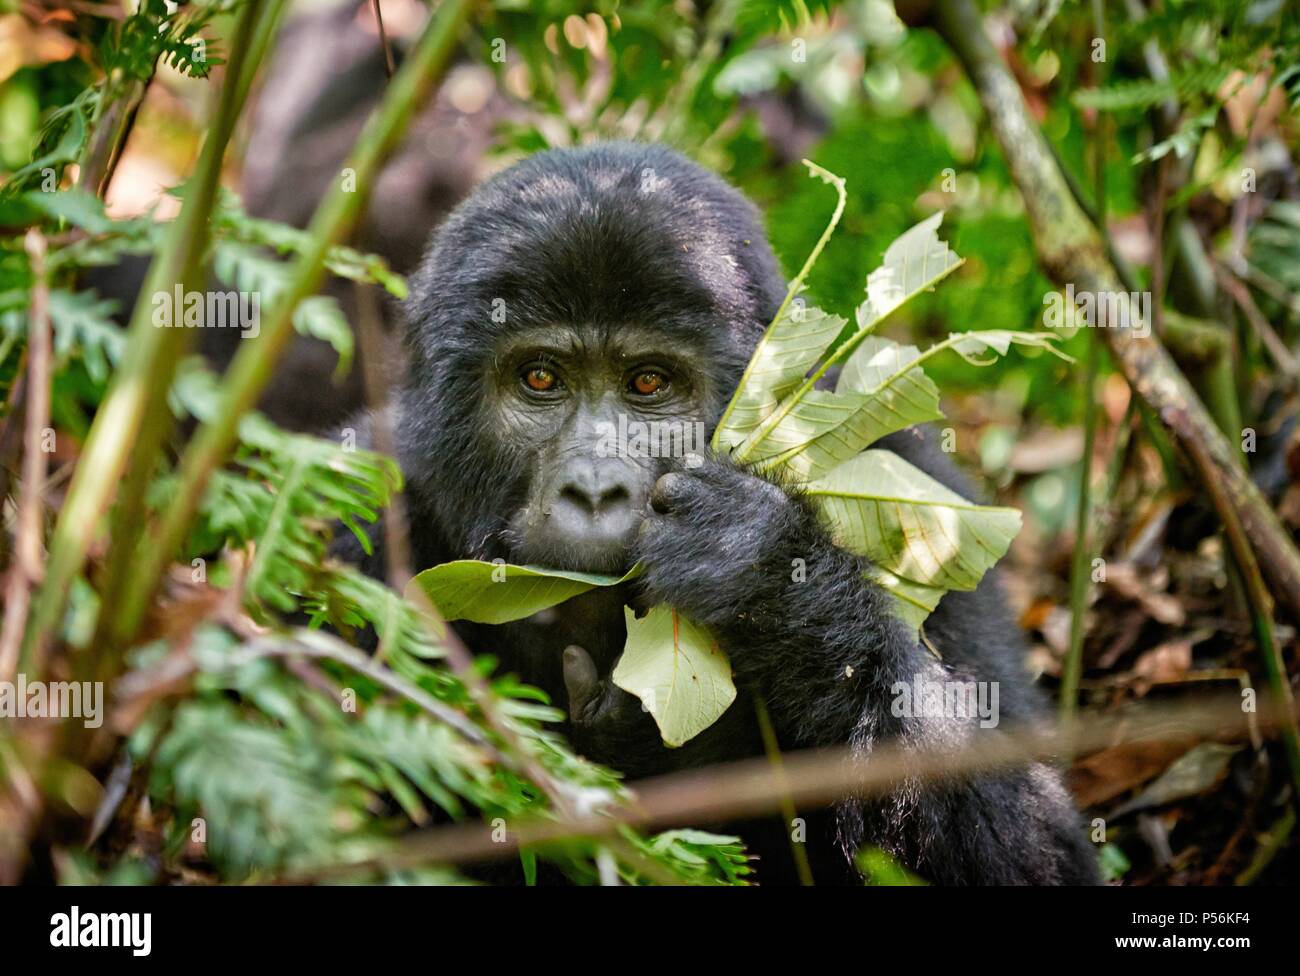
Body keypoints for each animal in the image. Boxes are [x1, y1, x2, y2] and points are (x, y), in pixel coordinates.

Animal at [332, 142, 1097, 883]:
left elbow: (1042, 847)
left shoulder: (926, 492)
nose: (593, 491)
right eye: (540, 377)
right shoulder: (357, 509)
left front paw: (763, 571)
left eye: (648, 383)